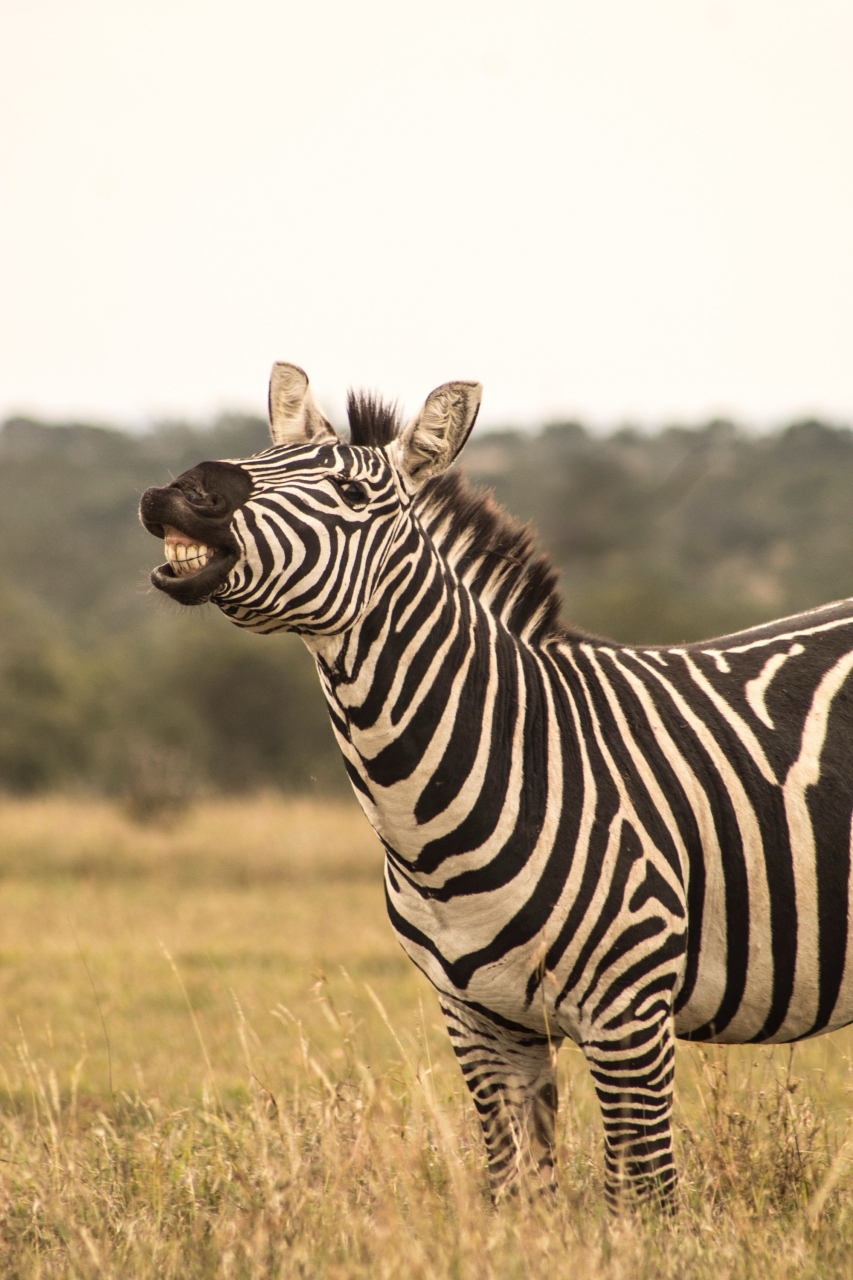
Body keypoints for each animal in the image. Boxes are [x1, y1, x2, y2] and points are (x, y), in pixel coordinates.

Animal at [140, 362, 853, 1210]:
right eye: (258, 456)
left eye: (350, 492)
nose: (188, 489)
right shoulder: (481, 1024)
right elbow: (518, 1195)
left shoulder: (631, 1016)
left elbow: (641, 1200)